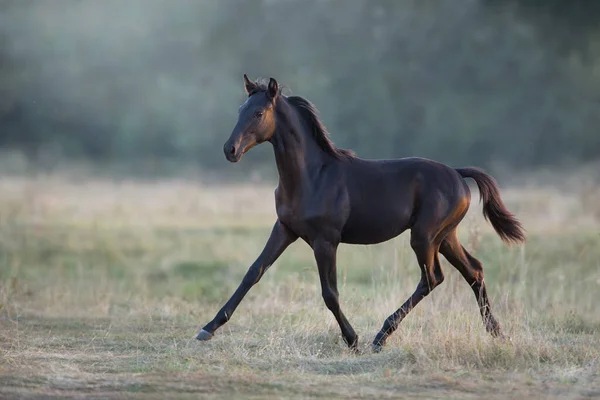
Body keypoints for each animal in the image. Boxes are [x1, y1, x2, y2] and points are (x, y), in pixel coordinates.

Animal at [197, 73, 524, 352]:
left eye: (259, 113)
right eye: (241, 108)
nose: (230, 150)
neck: (312, 176)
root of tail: (457, 173)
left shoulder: (325, 240)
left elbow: (330, 292)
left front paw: (352, 340)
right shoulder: (285, 229)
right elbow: (253, 272)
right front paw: (207, 328)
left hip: (424, 236)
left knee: (432, 278)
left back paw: (381, 336)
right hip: (445, 236)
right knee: (474, 270)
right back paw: (496, 332)